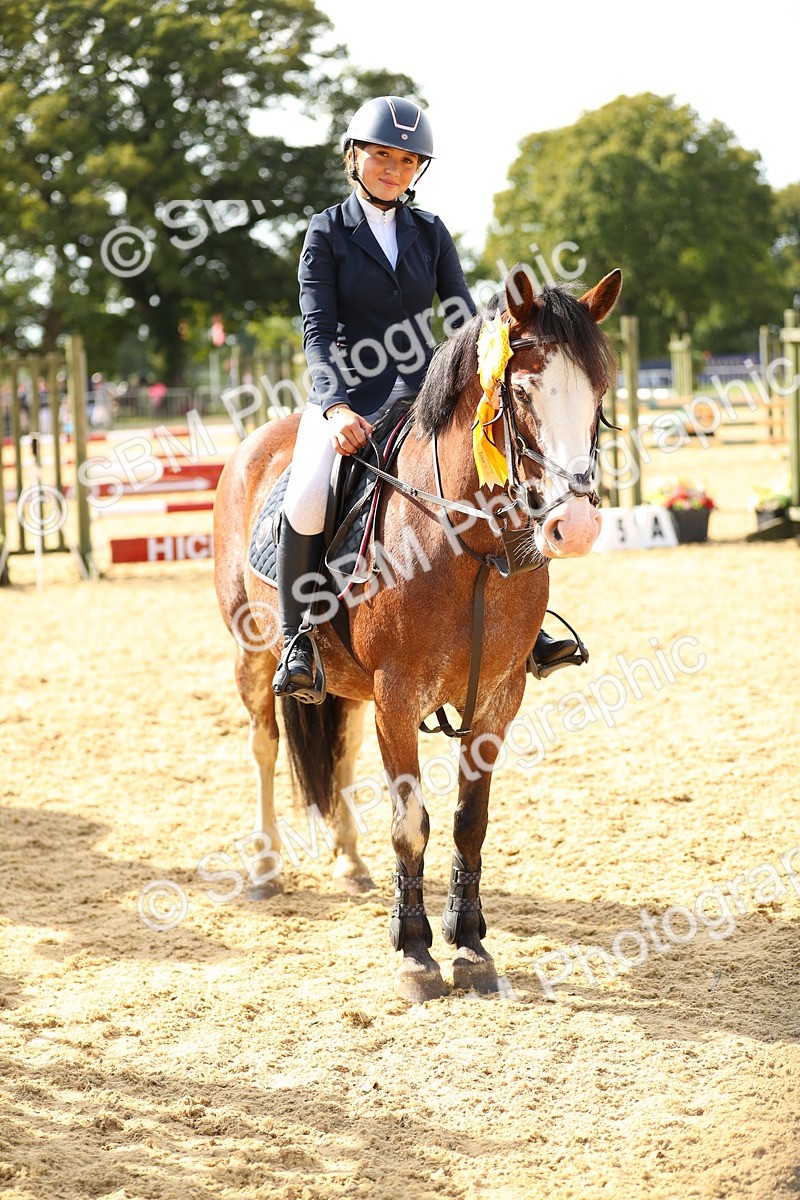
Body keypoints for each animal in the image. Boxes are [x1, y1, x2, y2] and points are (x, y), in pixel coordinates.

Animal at [213, 264, 622, 1002]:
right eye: (522, 391)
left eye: (599, 393)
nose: (574, 526)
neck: (465, 542)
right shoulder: (398, 698)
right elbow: (411, 824)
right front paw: (414, 952)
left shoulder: (497, 698)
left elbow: (468, 821)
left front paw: (471, 942)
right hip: (252, 651)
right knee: (263, 745)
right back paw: (263, 869)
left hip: (347, 685)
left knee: (339, 748)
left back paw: (349, 862)